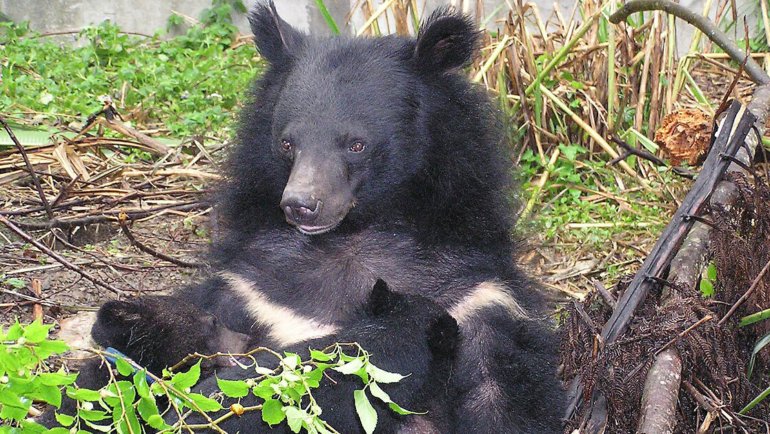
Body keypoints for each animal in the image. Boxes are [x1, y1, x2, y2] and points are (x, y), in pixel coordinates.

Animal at [96, 2, 564, 430]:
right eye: (288, 143)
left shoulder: (477, 297)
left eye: (356, 144)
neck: (352, 236)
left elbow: (500, 395)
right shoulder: (250, 290)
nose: (300, 204)